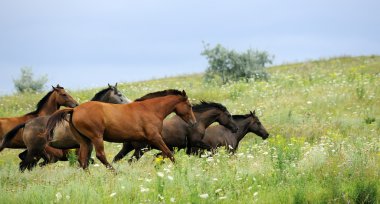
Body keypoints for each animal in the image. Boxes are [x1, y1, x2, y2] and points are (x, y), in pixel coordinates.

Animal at [46, 89, 196, 169]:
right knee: (100, 156)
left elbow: (165, 153)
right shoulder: (154, 138)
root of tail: (74, 110)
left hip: (84, 141)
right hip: (96, 137)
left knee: (83, 160)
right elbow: (169, 153)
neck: (150, 110)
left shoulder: (144, 144)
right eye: (189, 105)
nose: (193, 122)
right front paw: (179, 168)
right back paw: (115, 172)